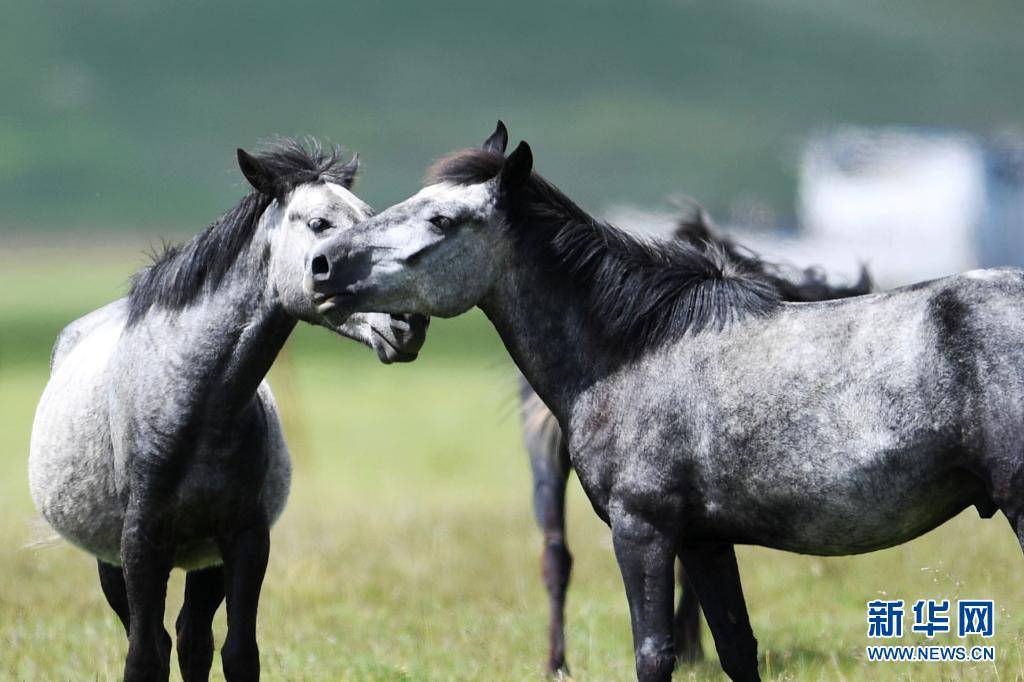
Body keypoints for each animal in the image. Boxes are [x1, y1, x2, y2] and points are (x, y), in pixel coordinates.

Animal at [28, 139, 425, 679]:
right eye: (319, 223)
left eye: (370, 218)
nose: (408, 320)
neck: (195, 404)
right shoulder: (140, 544)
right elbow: (144, 655)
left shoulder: (244, 539)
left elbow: (239, 652)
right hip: (111, 560)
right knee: (157, 637)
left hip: (204, 560)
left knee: (193, 637)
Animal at [307, 123, 1019, 679]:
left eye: (441, 220)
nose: (319, 265)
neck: (635, 350)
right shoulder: (704, 541)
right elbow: (736, 649)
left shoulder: (642, 530)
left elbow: (654, 653)